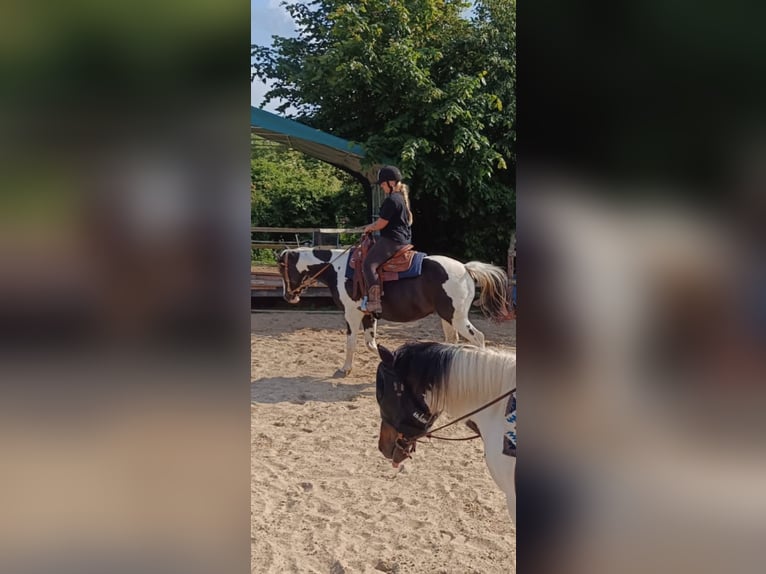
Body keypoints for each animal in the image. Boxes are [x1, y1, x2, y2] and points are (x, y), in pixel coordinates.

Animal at [277, 246, 510, 376]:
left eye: (283, 268)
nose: (288, 297)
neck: (339, 269)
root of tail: (465, 269)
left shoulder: (351, 314)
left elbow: (351, 343)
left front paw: (345, 369)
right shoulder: (368, 315)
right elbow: (371, 344)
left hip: (457, 317)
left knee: (478, 338)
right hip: (448, 318)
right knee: (453, 341)